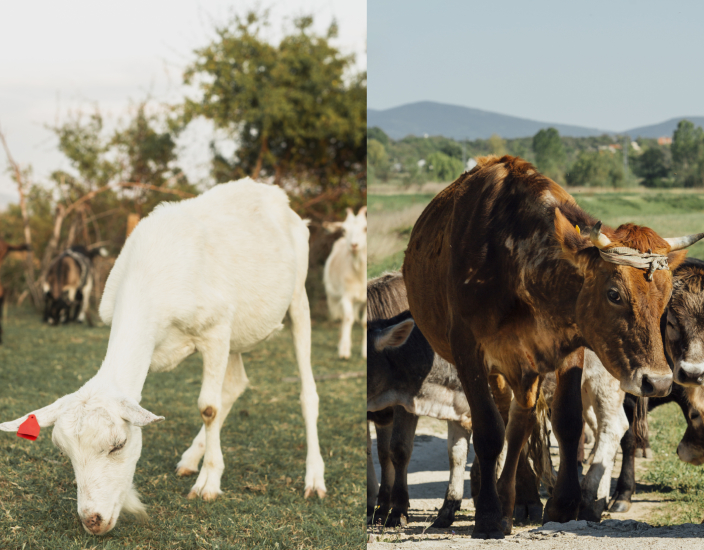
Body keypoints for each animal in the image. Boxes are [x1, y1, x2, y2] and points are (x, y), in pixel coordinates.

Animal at [1, 180, 326, 536]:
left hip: (297, 299)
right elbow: (218, 400)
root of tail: (274, 193)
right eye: (64, 452)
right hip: (238, 332)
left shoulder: (215, 332)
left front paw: (209, 483)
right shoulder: (220, 334)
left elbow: (208, 408)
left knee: (306, 391)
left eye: (118, 444)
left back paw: (314, 478)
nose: (92, 521)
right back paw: (190, 459)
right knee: (236, 384)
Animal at [324, 206, 368, 358]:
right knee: (345, 318)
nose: (353, 245)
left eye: (365, 228)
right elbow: (348, 319)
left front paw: (365, 352)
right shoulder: (346, 296)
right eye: (344, 230)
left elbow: (365, 322)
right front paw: (344, 351)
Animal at [402, 154, 704, 540]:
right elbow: (488, 430)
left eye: (666, 299)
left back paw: (520, 497)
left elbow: (568, 422)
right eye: (614, 294)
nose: (659, 382)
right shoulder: (468, 351)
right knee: (508, 420)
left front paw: (562, 506)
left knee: (520, 421)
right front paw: (489, 515)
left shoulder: (570, 349)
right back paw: (509, 498)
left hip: (525, 367)